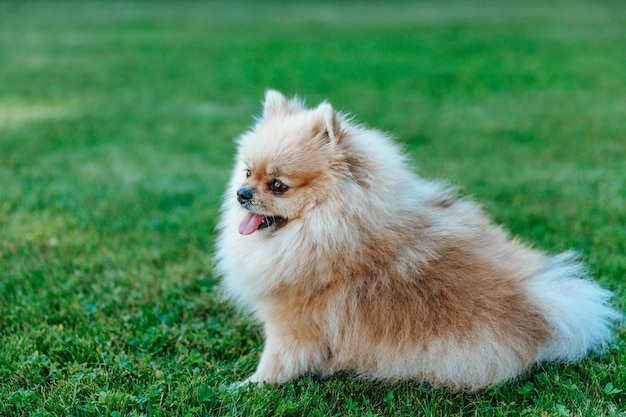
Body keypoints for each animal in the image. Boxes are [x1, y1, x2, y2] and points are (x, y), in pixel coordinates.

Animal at [216, 90, 620, 390]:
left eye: (278, 186)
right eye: (248, 172)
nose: (241, 194)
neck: (331, 229)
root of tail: (538, 307)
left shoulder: (292, 324)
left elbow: (275, 364)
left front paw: (244, 387)